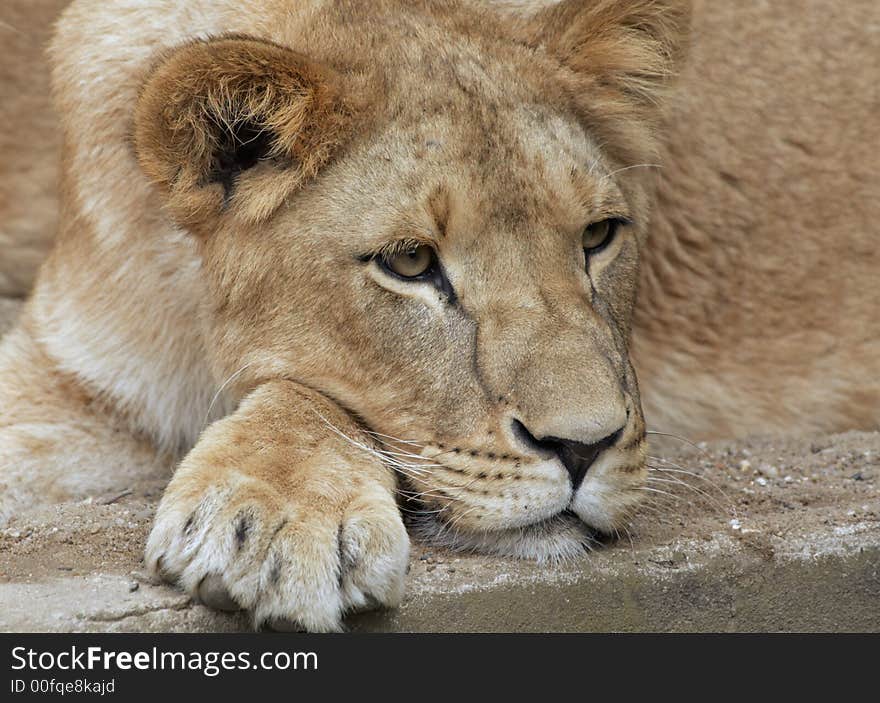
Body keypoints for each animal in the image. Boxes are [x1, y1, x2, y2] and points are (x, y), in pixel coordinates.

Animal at [0, 0, 876, 628]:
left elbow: (307, 390)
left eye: (598, 236)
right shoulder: (66, 377)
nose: (583, 447)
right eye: (412, 263)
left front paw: (271, 510)